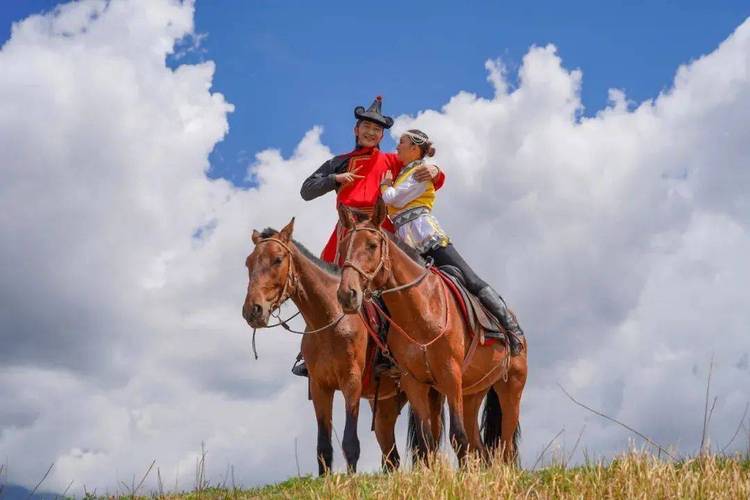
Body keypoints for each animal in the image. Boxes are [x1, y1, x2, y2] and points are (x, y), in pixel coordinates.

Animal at [244, 218, 438, 472]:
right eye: (248, 263)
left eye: (278, 259)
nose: (252, 310)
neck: (330, 320)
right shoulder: (319, 387)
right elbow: (323, 448)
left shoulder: (351, 383)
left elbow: (350, 443)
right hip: (385, 406)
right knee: (391, 455)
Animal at [338, 200, 532, 464]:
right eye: (343, 247)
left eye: (372, 245)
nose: (347, 294)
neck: (422, 311)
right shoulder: (414, 382)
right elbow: (427, 442)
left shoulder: (450, 375)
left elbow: (457, 437)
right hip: (472, 393)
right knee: (481, 448)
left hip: (511, 387)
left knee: (505, 448)